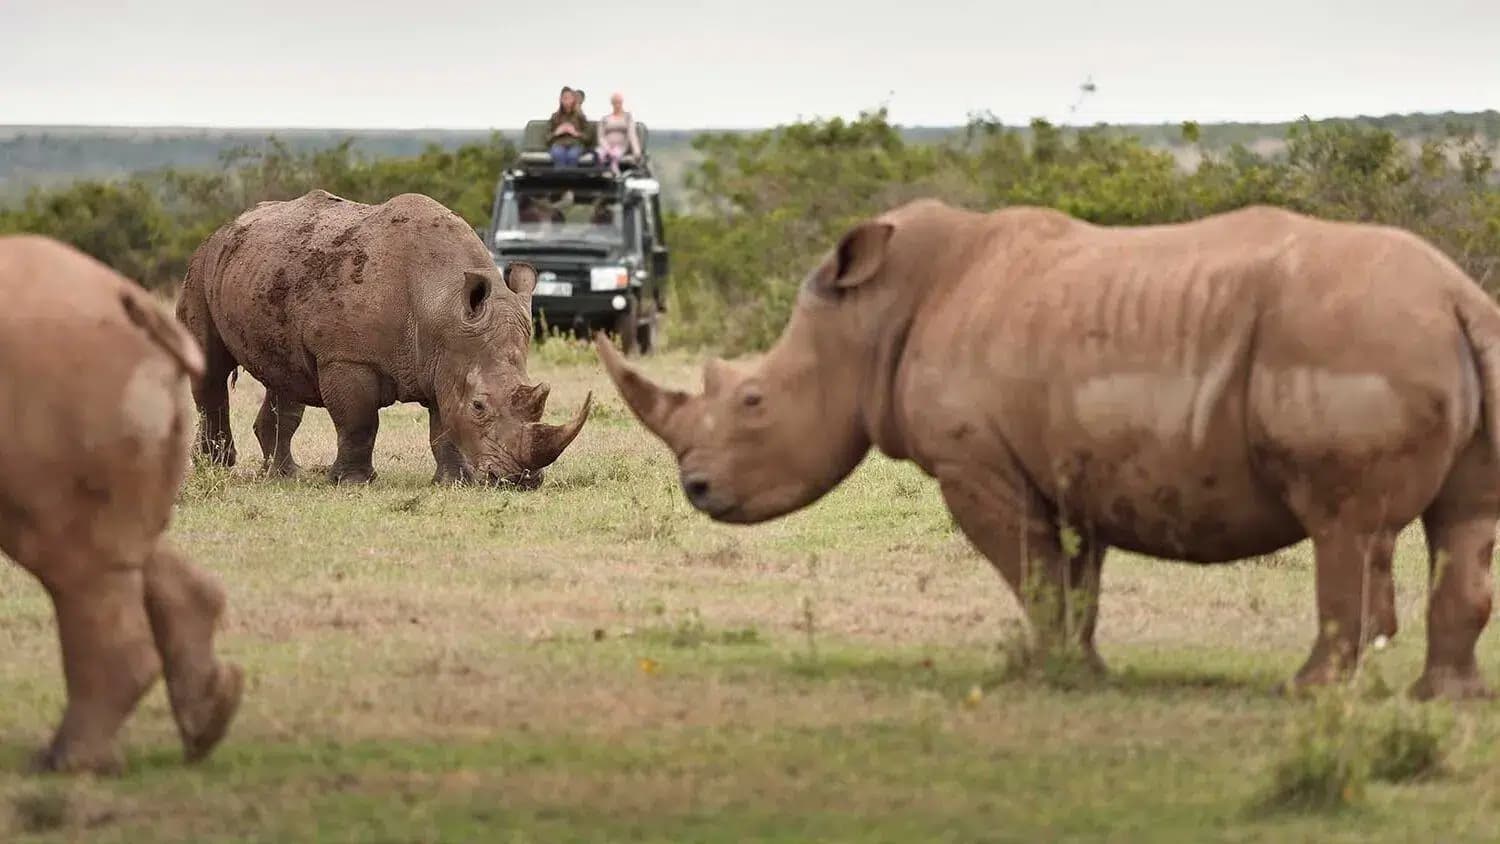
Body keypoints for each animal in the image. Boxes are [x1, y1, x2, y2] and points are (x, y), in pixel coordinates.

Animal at [0, 235, 242, 773]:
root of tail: (129, 302)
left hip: (67, 375)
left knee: (72, 556)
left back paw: (68, 763)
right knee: (115, 546)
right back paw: (208, 724)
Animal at [176, 189, 590, 487]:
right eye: (479, 406)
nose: (521, 480)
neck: (441, 304)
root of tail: (226, 227)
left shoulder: (444, 361)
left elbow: (443, 427)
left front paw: (452, 482)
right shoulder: (346, 357)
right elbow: (360, 422)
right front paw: (352, 483)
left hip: (262, 272)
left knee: (285, 379)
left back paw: (284, 476)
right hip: (201, 267)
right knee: (211, 371)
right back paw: (216, 466)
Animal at [597, 199, 1500, 700]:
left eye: (752, 402)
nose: (697, 488)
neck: (873, 317)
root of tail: (1458, 296)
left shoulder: (978, 467)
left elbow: (1031, 571)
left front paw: (1044, 674)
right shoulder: (1079, 464)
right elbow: (1076, 579)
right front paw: (1084, 673)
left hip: (1356, 337)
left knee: (1344, 527)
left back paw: (1307, 691)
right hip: (1426, 336)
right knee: (1463, 523)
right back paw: (1445, 701)